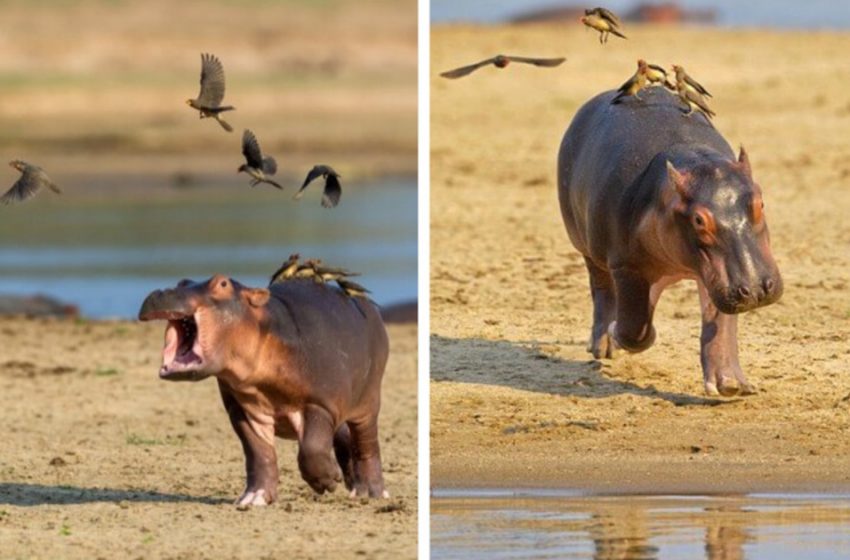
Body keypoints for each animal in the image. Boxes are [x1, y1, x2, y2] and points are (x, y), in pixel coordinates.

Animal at [137, 274, 390, 506]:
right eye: (181, 282)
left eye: (223, 283)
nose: (165, 292)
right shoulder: (242, 410)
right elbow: (259, 453)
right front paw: (253, 498)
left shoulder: (320, 404)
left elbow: (312, 448)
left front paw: (328, 481)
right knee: (345, 437)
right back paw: (354, 486)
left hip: (368, 402)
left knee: (366, 444)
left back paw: (372, 492)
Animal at [556, 86, 780, 394]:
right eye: (699, 220)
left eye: (760, 202)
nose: (757, 288)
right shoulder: (626, 266)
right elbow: (634, 328)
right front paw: (619, 333)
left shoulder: (720, 280)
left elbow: (719, 323)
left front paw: (730, 384)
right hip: (587, 245)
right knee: (601, 287)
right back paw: (603, 344)